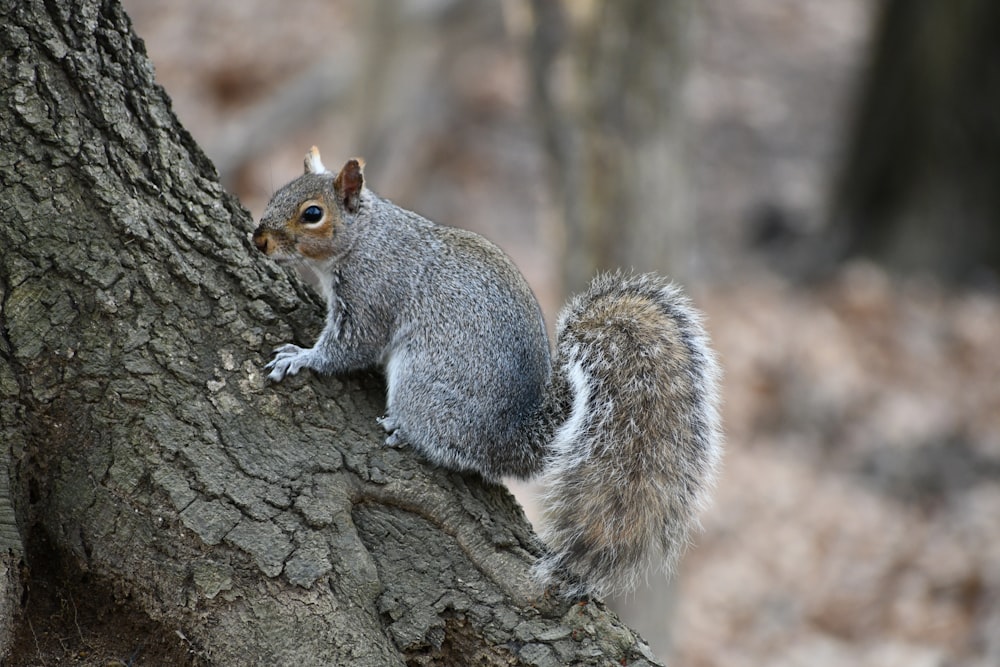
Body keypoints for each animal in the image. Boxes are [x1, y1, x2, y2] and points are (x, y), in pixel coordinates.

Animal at [249, 147, 720, 600]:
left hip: (422, 384)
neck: (366, 236)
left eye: (312, 213)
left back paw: (406, 431)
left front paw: (302, 357)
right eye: (277, 193)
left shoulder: (372, 295)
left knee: (451, 449)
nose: (259, 240)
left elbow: (351, 347)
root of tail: (513, 437)